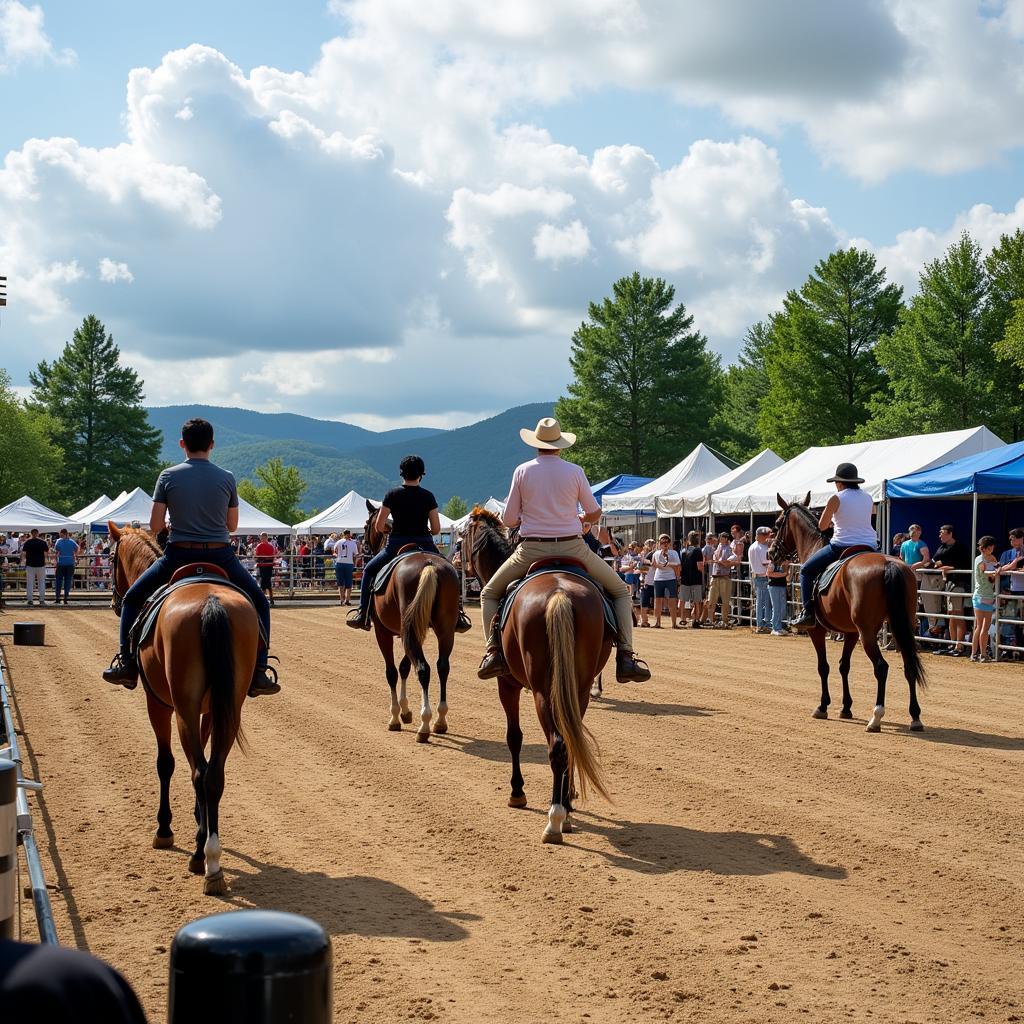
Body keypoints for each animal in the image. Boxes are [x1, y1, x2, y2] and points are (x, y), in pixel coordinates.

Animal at [108, 524, 258, 892]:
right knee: (212, 774)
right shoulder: (209, 711)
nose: (116, 601)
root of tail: (211, 603)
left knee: (199, 772)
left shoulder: (160, 705)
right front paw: (199, 820)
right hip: (227, 708)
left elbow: (166, 764)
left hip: (182, 709)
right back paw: (211, 857)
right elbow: (198, 764)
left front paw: (164, 829)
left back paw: (203, 858)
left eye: (112, 557)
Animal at [358, 499, 458, 741]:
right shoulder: (413, 631)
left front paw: (395, 716)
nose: (363, 547)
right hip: (444, 629)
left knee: (423, 668)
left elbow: (392, 671)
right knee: (442, 667)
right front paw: (405, 711)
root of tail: (429, 564)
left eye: (366, 524)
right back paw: (440, 720)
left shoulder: (384, 632)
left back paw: (425, 725)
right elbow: (404, 667)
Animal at [462, 507, 610, 843]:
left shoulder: (507, 683)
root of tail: (559, 594)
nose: (454, 560)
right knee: (569, 738)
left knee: (557, 744)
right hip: (577, 688)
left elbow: (514, 736)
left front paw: (517, 793)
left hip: (543, 691)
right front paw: (569, 799)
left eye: (461, 536)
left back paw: (554, 820)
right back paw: (564, 808)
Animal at [770, 493, 929, 729]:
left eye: (777, 523)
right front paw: (846, 707)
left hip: (868, 633)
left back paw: (876, 717)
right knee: (908, 665)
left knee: (881, 667)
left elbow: (823, 667)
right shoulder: (851, 632)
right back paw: (915, 716)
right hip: (901, 626)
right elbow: (844, 665)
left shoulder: (817, 630)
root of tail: (888, 565)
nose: (771, 552)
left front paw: (823, 706)